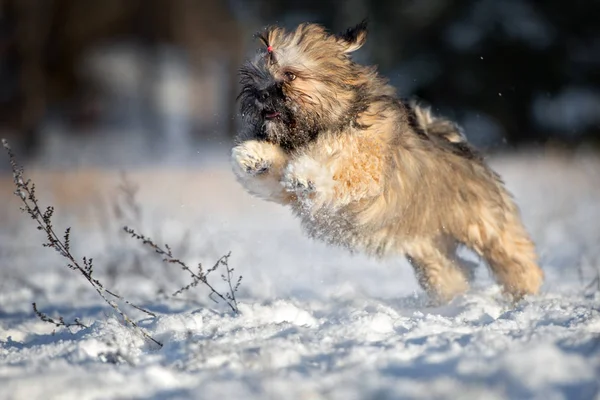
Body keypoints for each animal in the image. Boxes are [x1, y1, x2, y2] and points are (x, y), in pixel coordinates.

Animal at [230, 21, 544, 304]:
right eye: (255, 77)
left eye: (290, 75)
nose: (261, 94)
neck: (321, 125)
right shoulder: (292, 191)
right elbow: (276, 177)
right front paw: (253, 157)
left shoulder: (367, 160)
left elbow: (339, 155)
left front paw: (308, 173)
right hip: (430, 250)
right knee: (453, 272)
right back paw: (450, 302)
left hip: (484, 225)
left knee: (514, 256)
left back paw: (526, 294)